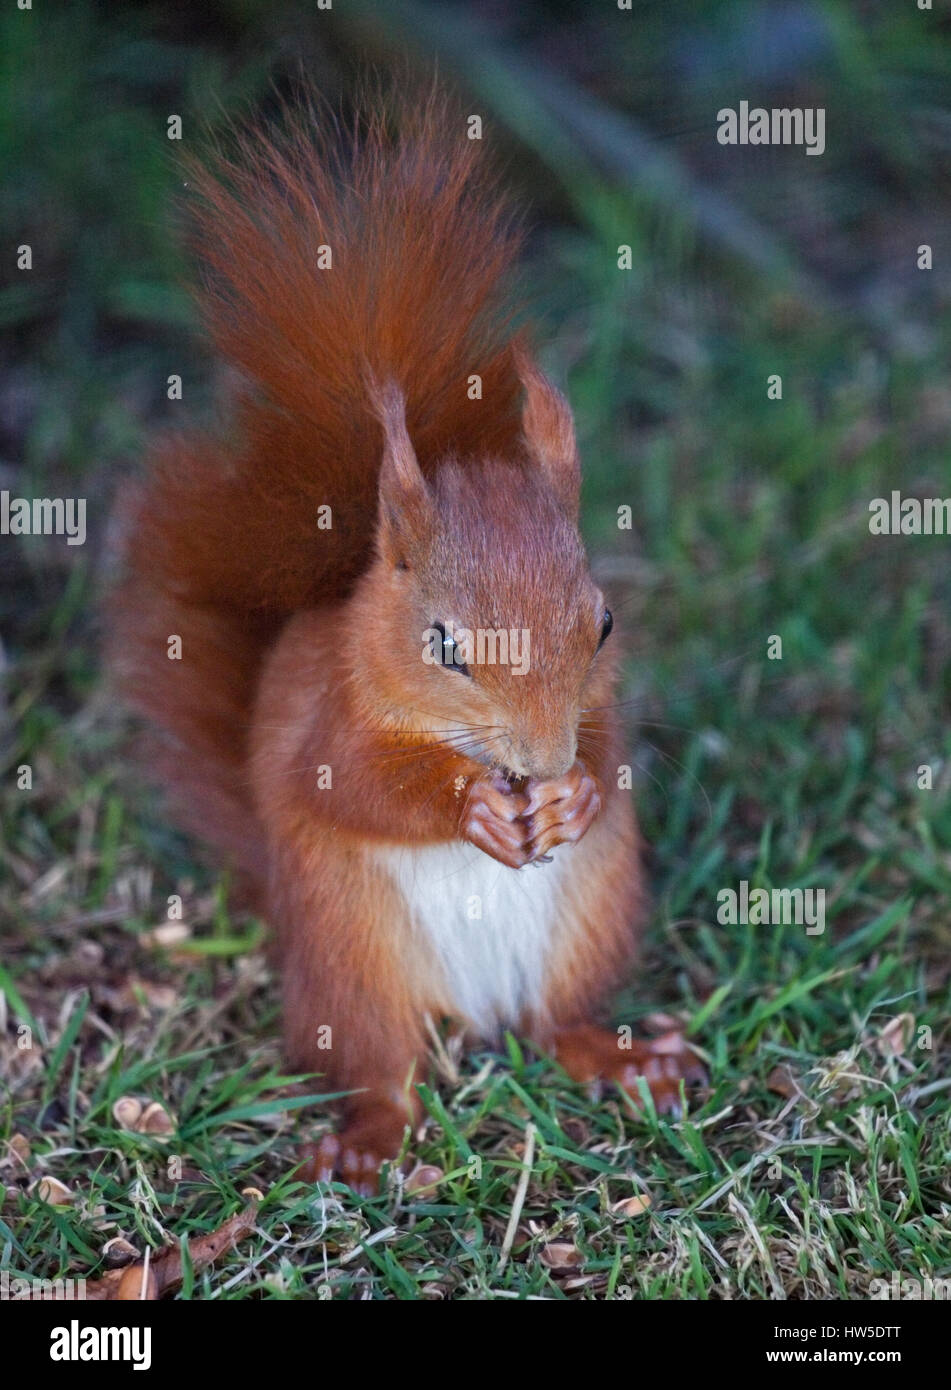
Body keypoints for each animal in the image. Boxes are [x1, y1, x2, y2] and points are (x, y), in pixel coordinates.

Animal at [113, 86, 706, 1195]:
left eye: (604, 622)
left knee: (557, 1023)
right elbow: (352, 782)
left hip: (592, 918)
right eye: (444, 647)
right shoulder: (333, 724)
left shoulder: (601, 709)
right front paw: (473, 805)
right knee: (381, 1064)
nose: (540, 764)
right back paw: (371, 1136)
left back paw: (623, 1056)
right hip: (355, 961)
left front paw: (576, 792)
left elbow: (610, 749)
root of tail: (480, 1012)